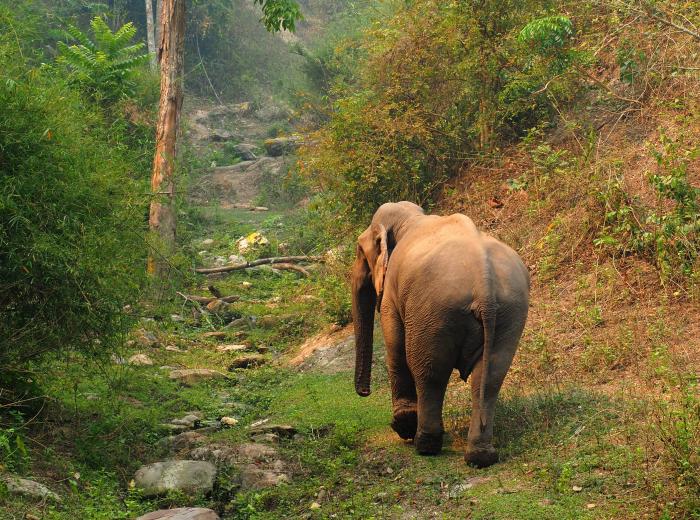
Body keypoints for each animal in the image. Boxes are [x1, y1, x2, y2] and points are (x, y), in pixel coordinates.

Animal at [352, 201, 529, 467]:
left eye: (360, 252)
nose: (364, 392)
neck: (410, 219)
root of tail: (484, 281)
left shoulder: (392, 292)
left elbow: (395, 345)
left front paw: (402, 425)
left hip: (434, 311)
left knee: (429, 370)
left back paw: (424, 445)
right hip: (510, 312)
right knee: (490, 376)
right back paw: (480, 457)